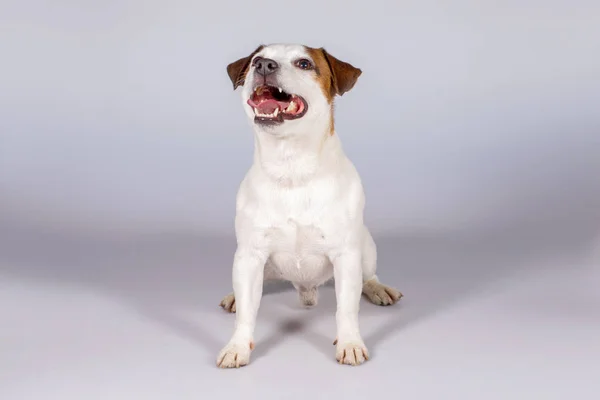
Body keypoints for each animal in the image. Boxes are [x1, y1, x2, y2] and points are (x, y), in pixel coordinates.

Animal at [217, 43, 404, 368]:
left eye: (304, 63)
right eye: (255, 61)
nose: (263, 65)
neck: (291, 165)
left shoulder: (346, 256)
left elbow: (346, 309)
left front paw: (350, 343)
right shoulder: (250, 255)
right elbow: (247, 313)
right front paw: (237, 346)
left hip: (365, 246)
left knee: (368, 276)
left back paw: (378, 289)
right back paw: (234, 297)